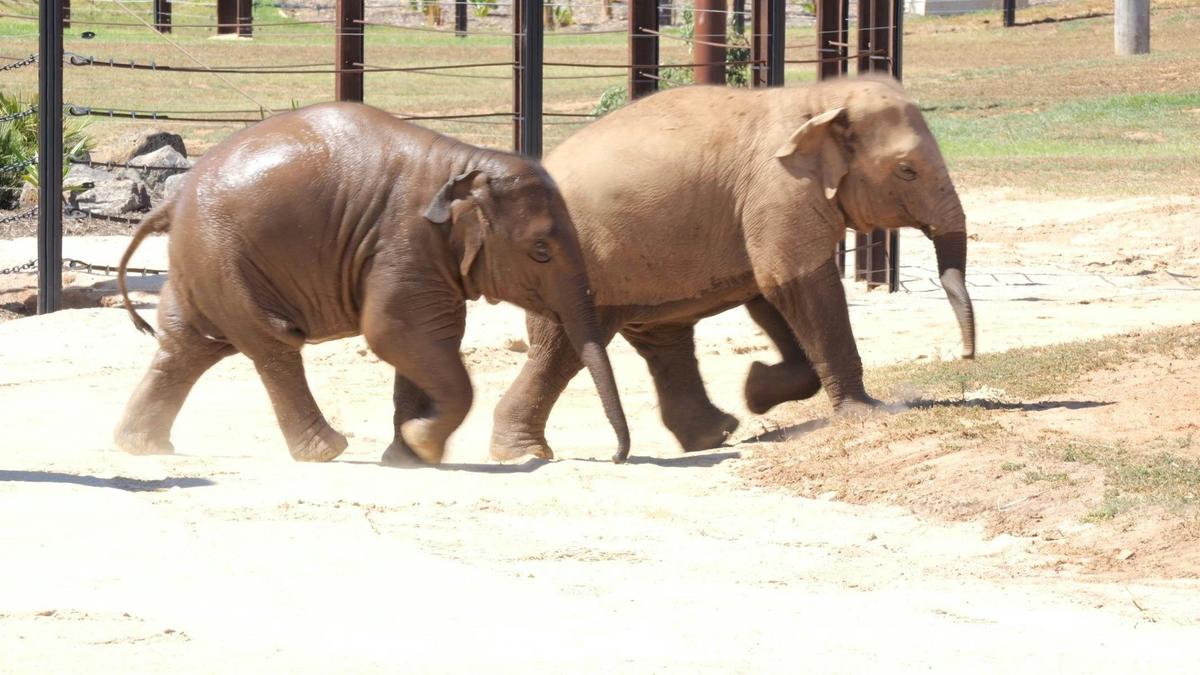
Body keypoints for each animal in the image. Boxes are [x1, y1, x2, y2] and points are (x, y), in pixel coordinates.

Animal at [113, 102, 629, 465]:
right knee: (270, 345)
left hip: (205, 264)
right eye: (541, 250)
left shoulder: (425, 259)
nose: (618, 456)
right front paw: (423, 445)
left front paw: (409, 455)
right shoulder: (405, 240)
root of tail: (172, 202)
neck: (465, 161)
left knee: (188, 345)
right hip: (224, 259)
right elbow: (395, 333)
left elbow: (427, 340)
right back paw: (328, 450)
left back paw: (141, 447)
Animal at [490, 76, 974, 461]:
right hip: (569, 265)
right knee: (561, 351)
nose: (967, 355)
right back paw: (523, 454)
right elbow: (794, 282)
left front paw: (755, 390)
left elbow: (771, 292)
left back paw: (716, 433)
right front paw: (863, 412)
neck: (820, 100)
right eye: (907, 170)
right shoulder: (780, 191)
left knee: (664, 340)